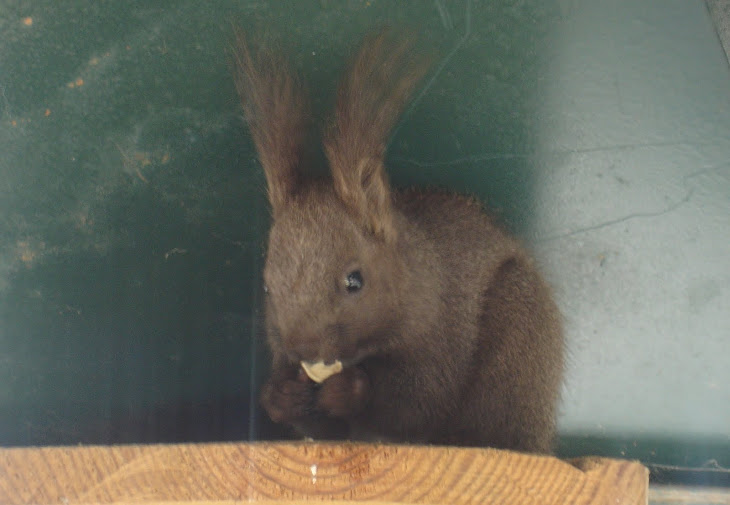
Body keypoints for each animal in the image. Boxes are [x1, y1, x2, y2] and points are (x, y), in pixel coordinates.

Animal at [233, 28, 564, 452]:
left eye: (355, 281)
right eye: (266, 286)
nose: (301, 348)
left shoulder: (443, 330)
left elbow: (415, 401)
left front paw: (351, 389)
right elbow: (324, 429)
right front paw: (281, 395)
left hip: (518, 334)